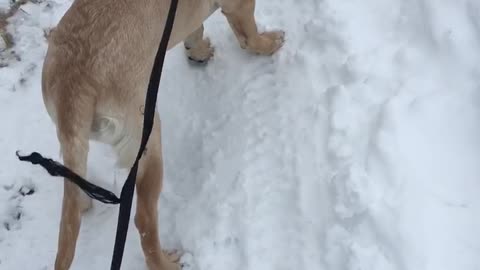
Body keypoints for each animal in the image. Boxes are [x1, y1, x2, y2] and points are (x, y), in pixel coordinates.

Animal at [41, 0, 284, 268]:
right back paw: (164, 263)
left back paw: (84, 203)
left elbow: (196, 30)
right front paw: (268, 44)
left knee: (73, 190)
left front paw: (197, 51)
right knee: (143, 220)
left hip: (76, 143)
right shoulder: (240, 7)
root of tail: (74, 87)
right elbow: (249, 36)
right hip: (148, 141)